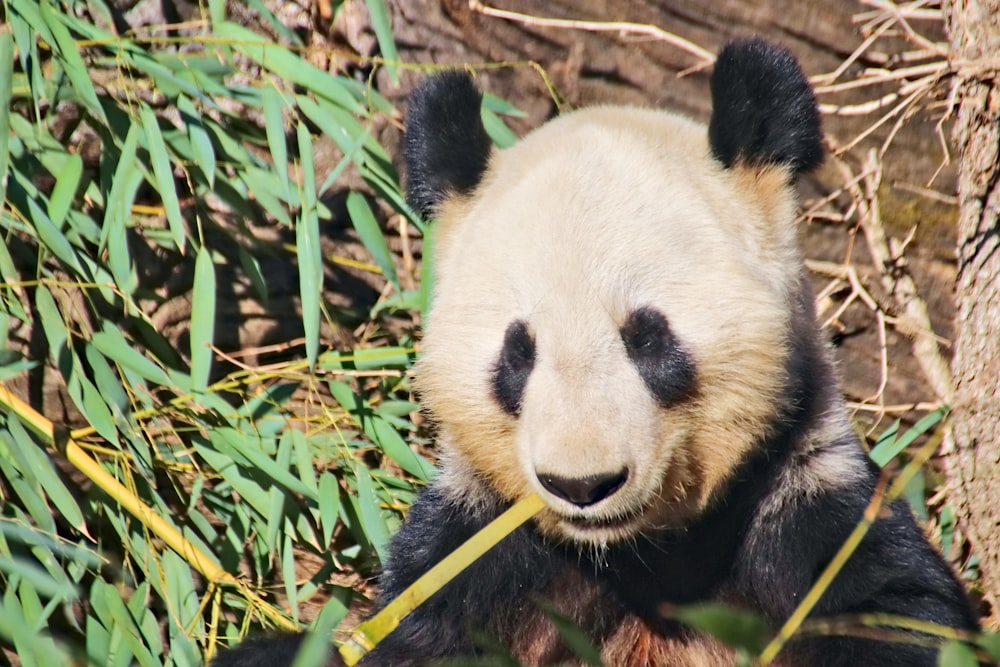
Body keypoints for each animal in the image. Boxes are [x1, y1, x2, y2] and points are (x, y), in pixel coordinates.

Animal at [217, 40, 976, 667]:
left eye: (648, 337)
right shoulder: (483, 553)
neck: (636, 552)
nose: (583, 484)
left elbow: (895, 618)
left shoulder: (802, 508)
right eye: (517, 353)